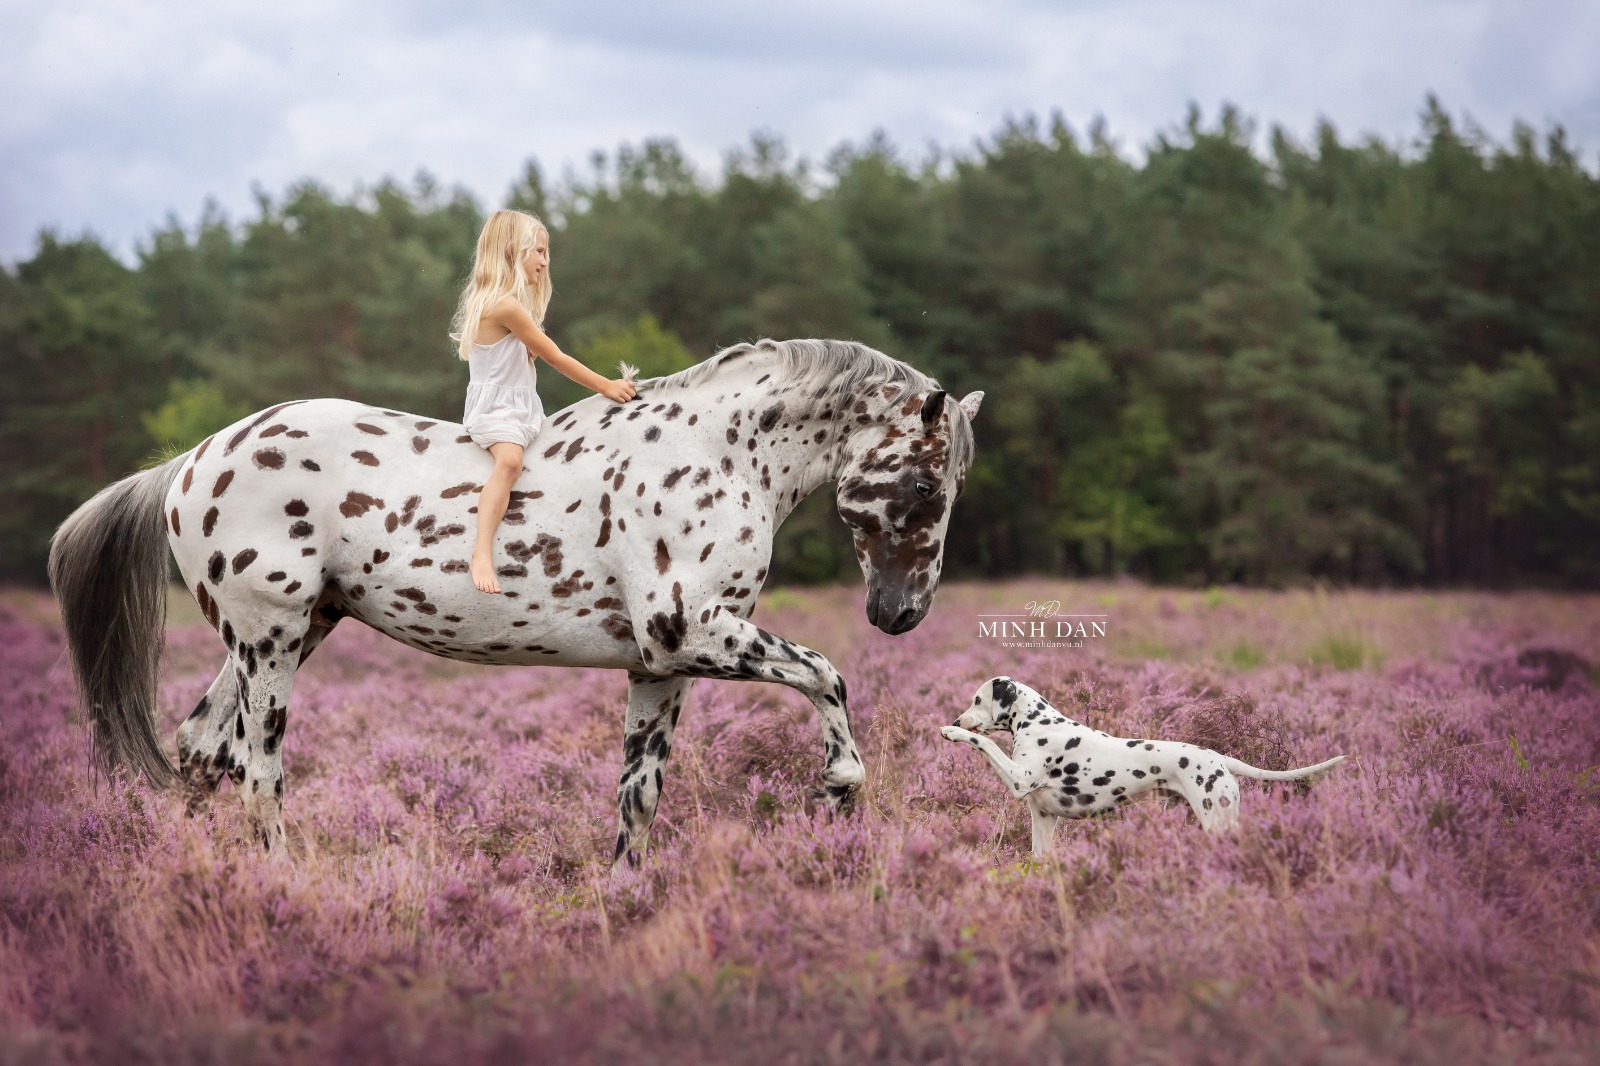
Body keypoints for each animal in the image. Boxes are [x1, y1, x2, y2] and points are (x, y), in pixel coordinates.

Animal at [50, 336, 979, 857]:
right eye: (925, 484)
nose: (902, 614)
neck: (716, 453)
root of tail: (193, 460)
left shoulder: (660, 667)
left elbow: (639, 797)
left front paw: (626, 902)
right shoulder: (691, 632)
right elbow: (826, 674)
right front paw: (839, 785)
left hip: (295, 631)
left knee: (202, 753)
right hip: (267, 641)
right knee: (258, 774)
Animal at [940, 675, 1344, 851]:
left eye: (977, 699)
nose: (959, 718)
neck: (1038, 722)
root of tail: (1220, 758)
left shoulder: (1019, 777)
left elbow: (982, 741)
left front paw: (950, 731)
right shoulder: (1042, 817)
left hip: (1218, 821)